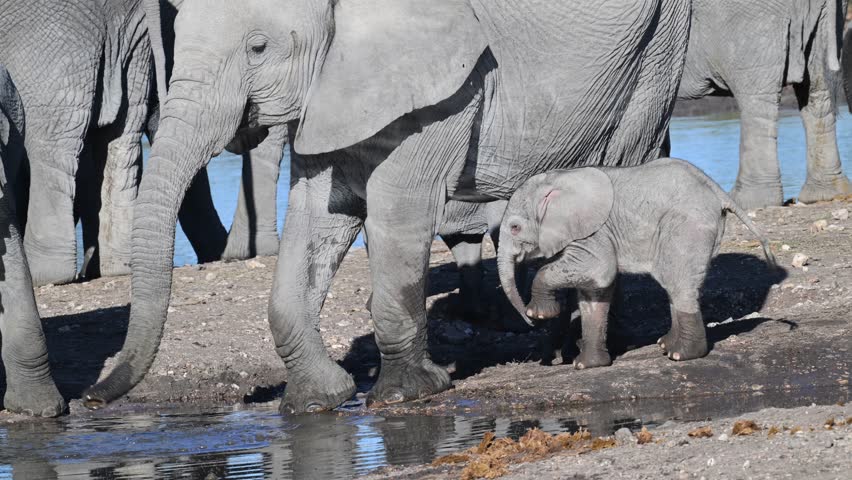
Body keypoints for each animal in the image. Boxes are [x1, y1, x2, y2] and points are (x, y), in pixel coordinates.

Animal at [83, 0, 691, 413]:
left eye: (258, 48)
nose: (91, 397)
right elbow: (317, 216)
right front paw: (320, 400)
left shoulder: (444, 86)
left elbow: (400, 208)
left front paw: (405, 395)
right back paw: (561, 345)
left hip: (656, 51)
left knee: (621, 158)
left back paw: (587, 346)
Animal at [497, 158, 776, 369]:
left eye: (515, 227)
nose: (530, 323)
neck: (552, 181)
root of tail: (717, 190)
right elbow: (594, 295)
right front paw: (586, 365)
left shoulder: (592, 231)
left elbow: (601, 270)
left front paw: (540, 312)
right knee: (673, 280)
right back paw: (666, 346)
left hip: (687, 224)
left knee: (678, 283)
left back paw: (681, 355)